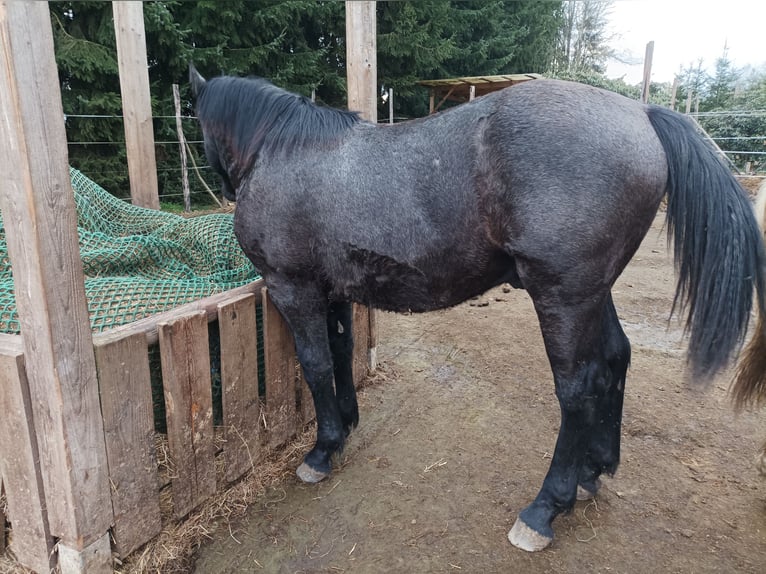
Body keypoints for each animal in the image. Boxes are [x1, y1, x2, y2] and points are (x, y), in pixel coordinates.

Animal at [189, 65, 766, 551]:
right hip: (592, 294)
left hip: (563, 296)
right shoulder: (331, 290)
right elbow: (340, 353)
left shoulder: (292, 287)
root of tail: (641, 113)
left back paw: (544, 509)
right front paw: (347, 425)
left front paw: (321, 450)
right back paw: (592, 472)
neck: (284, 150)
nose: (219, 183)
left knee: (579, 387)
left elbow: (314, 365)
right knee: (616, 360)